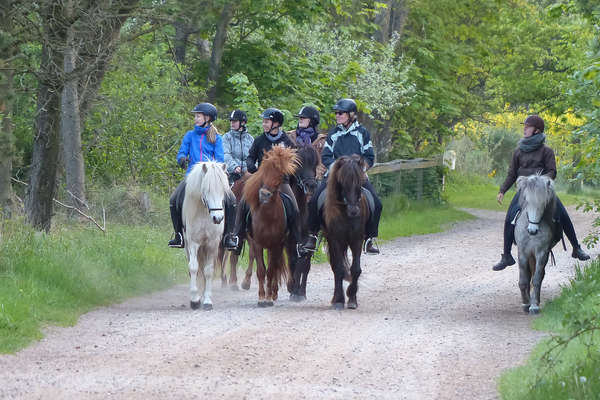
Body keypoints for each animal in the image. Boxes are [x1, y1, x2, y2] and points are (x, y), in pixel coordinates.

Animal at [182, 162, 231, 310]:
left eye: (223, 190)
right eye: (206, 190)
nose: (218, 218)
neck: (204, 212)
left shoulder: (212, 244)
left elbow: (208, 270)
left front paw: (207, 300)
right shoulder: (193, 243)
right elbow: (193, 268)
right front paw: (194, 299)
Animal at [243, 145, 298, 308]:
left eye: (280, 174)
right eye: (264, 169)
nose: (264, 194)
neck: (267, 216)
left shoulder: (275, 244)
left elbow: (271, 271)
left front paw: (267, 298)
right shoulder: (257, 243)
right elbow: (261, 270)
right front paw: (261, 298)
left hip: (281, 244)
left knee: (277, 266)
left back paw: (274, 293)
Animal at [324, 154, 370, 310]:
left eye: (360, 182)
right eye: (342, 182)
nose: (353, 211)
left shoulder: (357, 239)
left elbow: (355, 269)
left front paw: (352, 298)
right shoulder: (335, 240)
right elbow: (338, 269)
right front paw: (339, 300)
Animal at [510, 173, 564, 314]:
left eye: (543, 204)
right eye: (526, 201)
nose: (532, 231)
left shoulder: (541, 253)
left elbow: (537, 278)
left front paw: (533, 305)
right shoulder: (523, 253)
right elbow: (523, 279)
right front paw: (525, 303)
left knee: (537, 275)